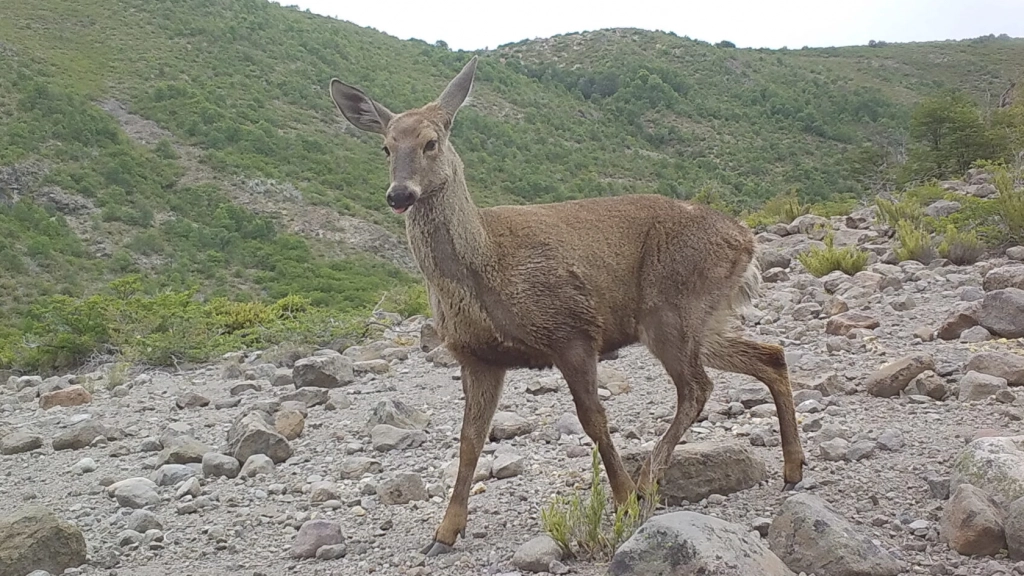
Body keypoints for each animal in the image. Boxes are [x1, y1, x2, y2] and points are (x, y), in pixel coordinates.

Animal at [331, 56, 802, 553]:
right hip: (701, 318)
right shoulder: (477, 356)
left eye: (431, 142)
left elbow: (593, 420)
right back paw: (792, 470)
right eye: (385, 147)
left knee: (697, 388)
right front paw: (444, 532)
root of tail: (746, 239)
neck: (487, 263)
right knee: (769, 355)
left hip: (672, 307)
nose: (399, 194)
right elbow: (469, 440)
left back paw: (647, 482)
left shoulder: (572, 330)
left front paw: (623, 500)